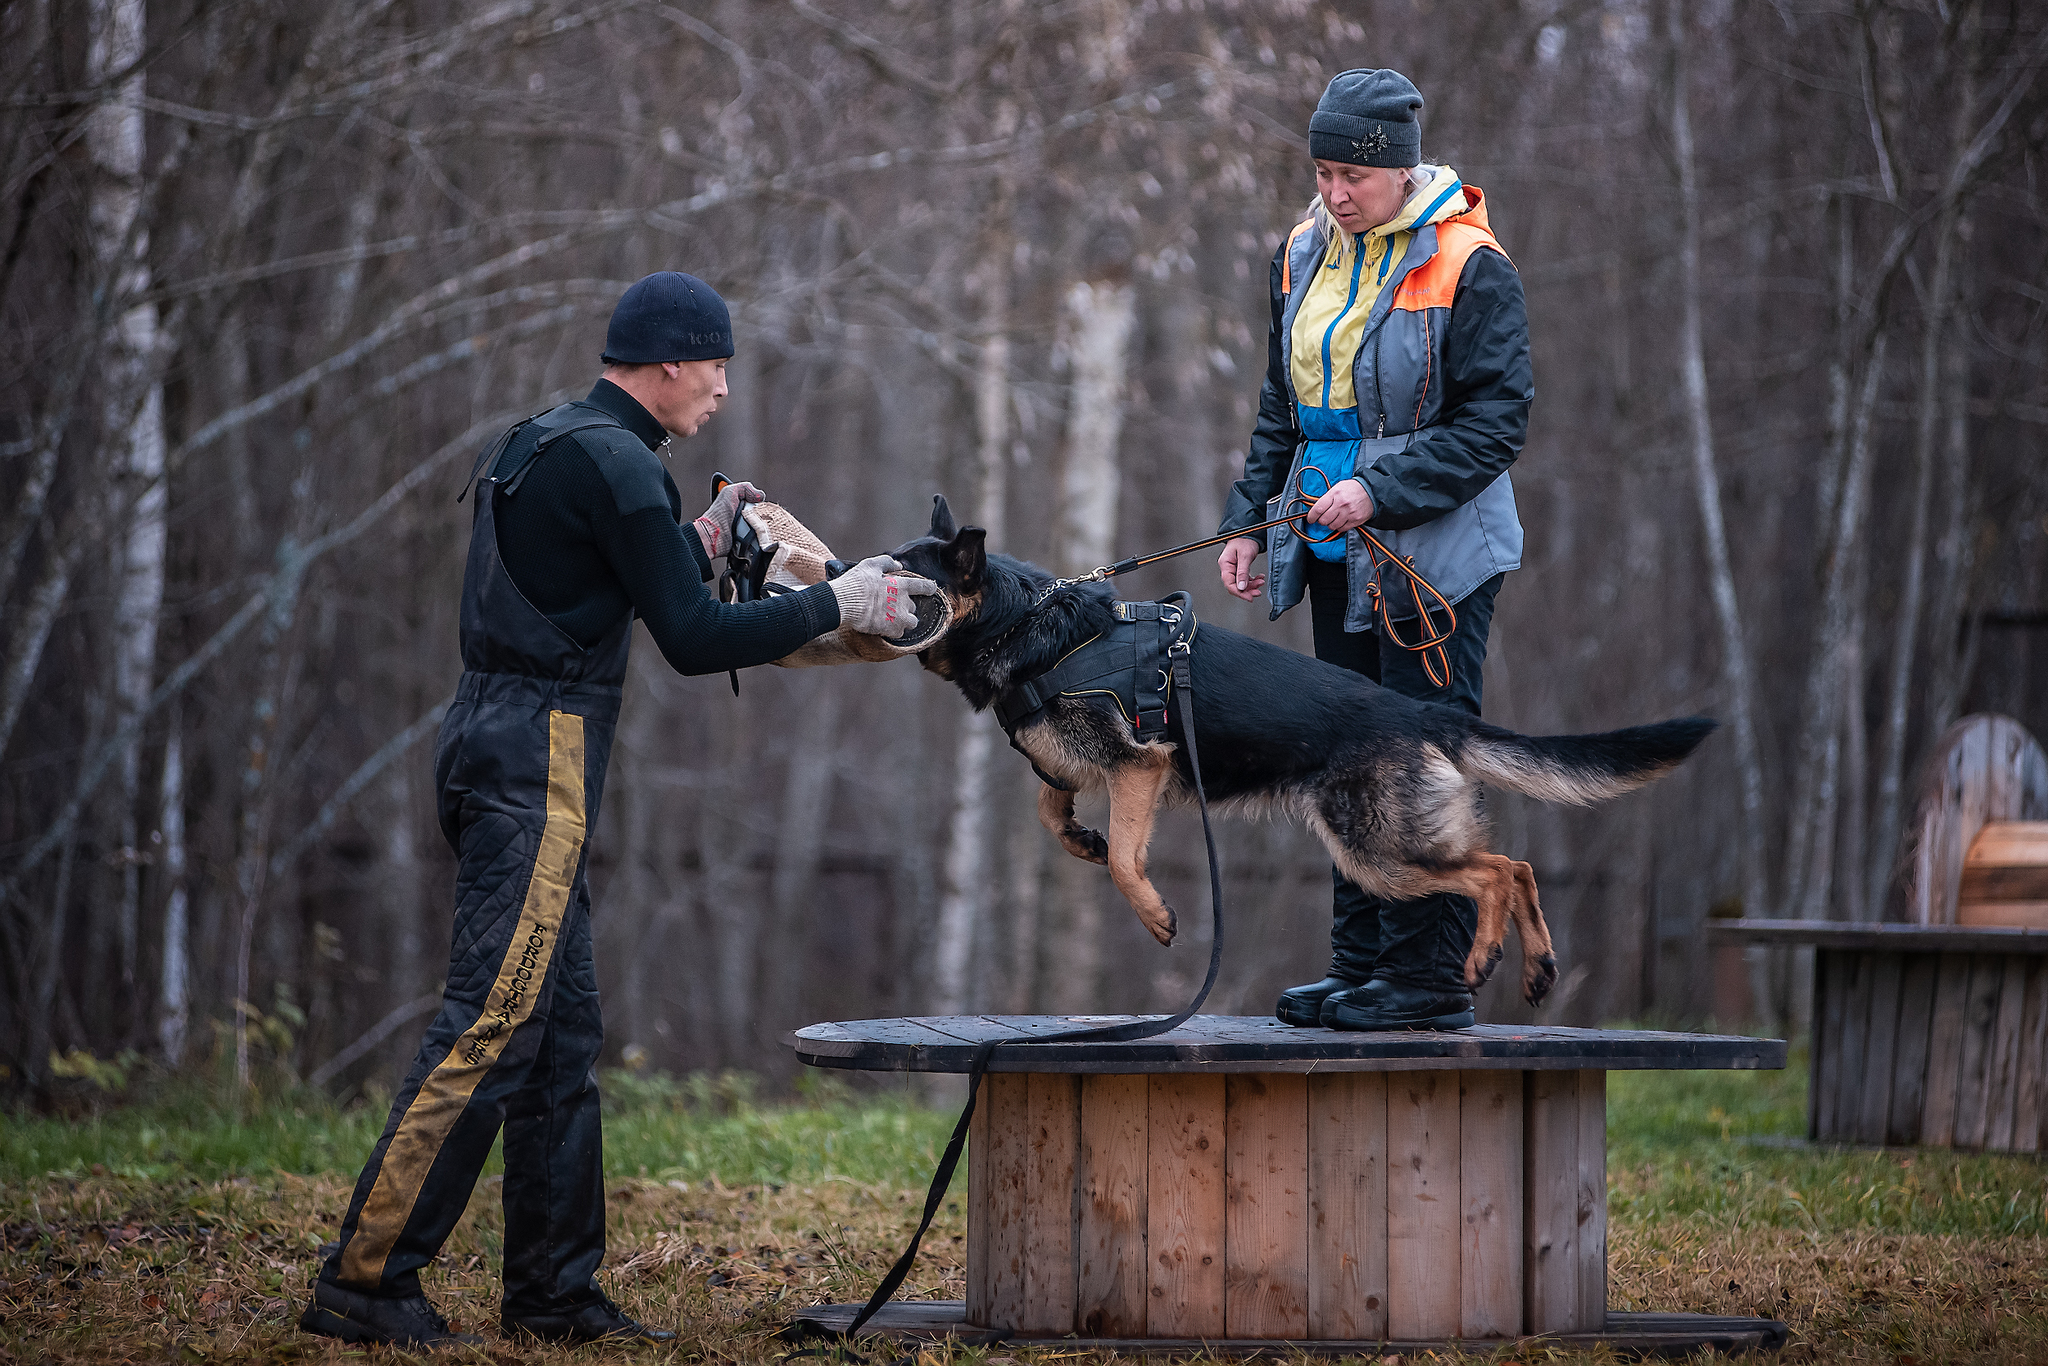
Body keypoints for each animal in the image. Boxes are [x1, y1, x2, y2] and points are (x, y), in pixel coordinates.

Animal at [888, 497, 1720, 1011]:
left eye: (904, 573)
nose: (853, 577)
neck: (1020, 621)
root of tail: (1416, 709)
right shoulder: (1076, 761)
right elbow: (1050, 805)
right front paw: (1081, 839)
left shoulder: (1141, 766)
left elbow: (1126, 859)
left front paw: (1155, 914)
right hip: (1388, 849)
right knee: (1515, 867)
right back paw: (1538, 969)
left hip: (1378, 850)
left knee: (1492, 872)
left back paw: (1482, 958)